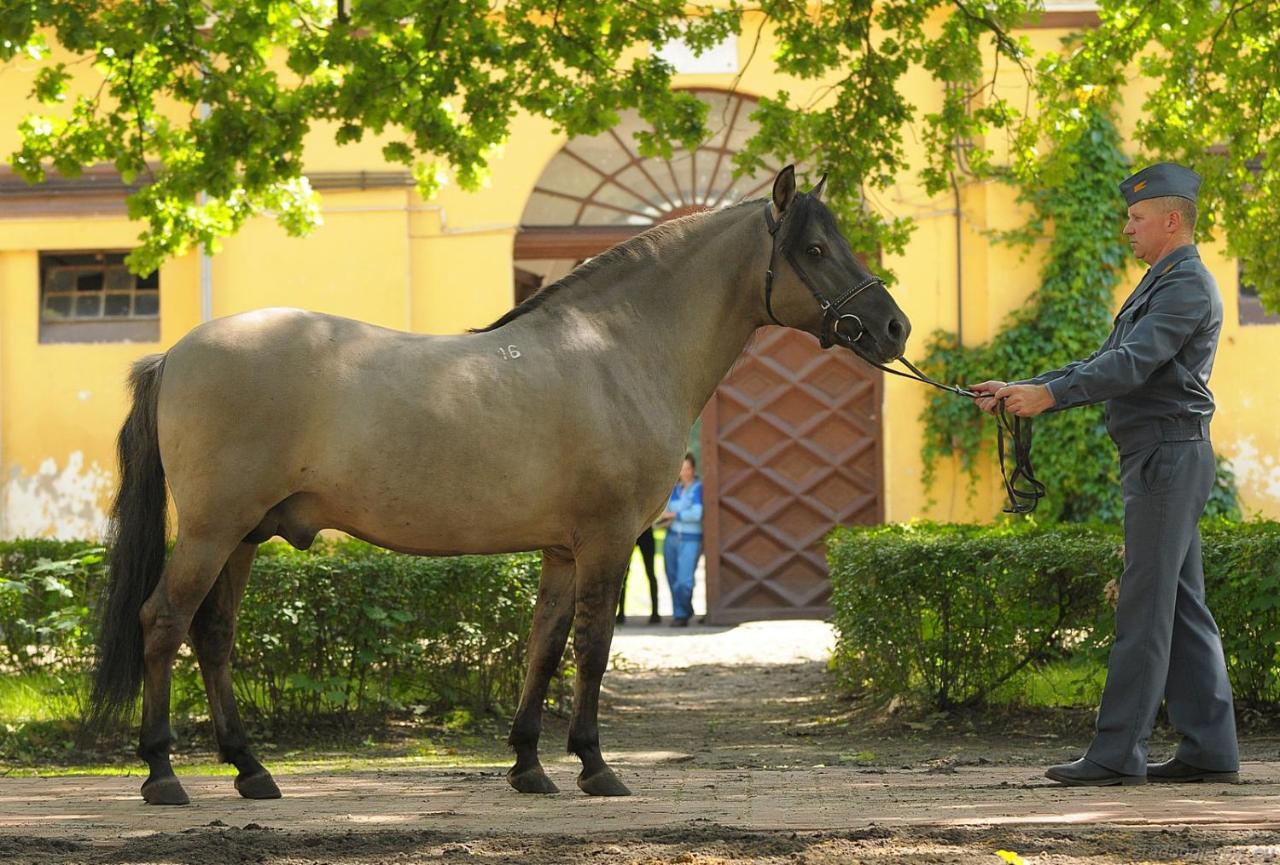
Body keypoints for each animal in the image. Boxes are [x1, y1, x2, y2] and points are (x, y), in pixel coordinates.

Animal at [90, 165, 911, 808]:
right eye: (815, 249)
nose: (894, 327)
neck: (615, 349)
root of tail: (176, 353)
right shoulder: (607, 541)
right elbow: (592, 646)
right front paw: (594, 766)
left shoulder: (562, 550)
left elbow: (542, 647)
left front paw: (527, 765)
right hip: (212, 531)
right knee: (163, 622)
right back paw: (164, 774)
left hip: (243, 536)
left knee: (213, 635)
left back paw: (251, 769)